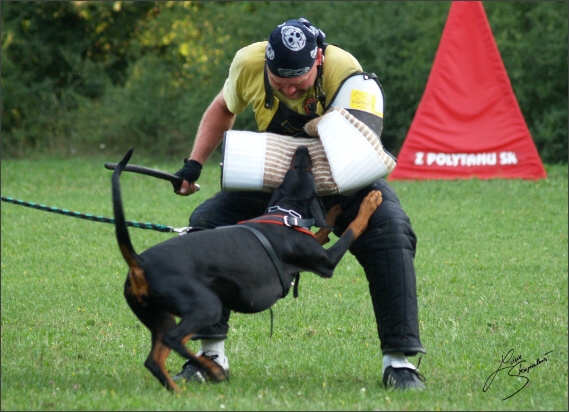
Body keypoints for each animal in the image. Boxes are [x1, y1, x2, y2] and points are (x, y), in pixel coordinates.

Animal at [111, 146, 382, 392]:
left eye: (291, 169)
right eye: (306, 170)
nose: (303, 148)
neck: (286, 213)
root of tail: (139, 262)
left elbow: (323, 231)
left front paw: (335, 211)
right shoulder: (326, 263)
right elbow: (351, 230)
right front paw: (370, 202)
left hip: (159, 315)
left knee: (154, 359)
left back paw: (178, 391)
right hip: (205, 307)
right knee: (173, 340)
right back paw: (211, 370)